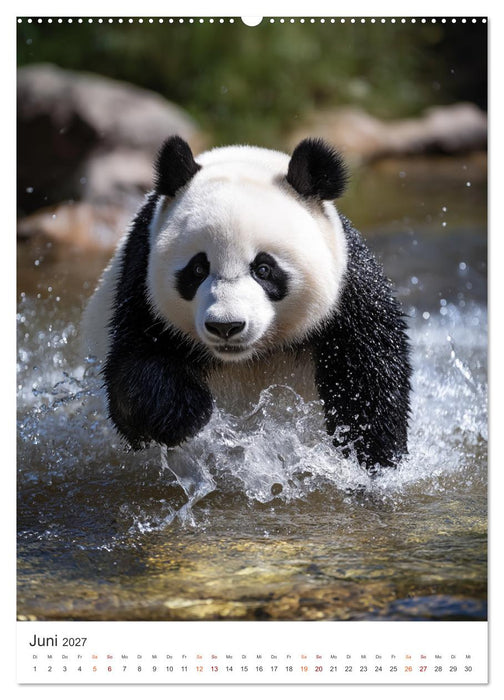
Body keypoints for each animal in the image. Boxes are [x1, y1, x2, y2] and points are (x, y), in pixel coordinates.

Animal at [82, 136, 411, 470]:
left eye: (263, 269)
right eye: (198, 269)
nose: (225, 326)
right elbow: (134, 372)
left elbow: (368, 380)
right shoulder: (141, 286)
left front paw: (370, 457)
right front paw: (186, 413)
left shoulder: (347, 293)